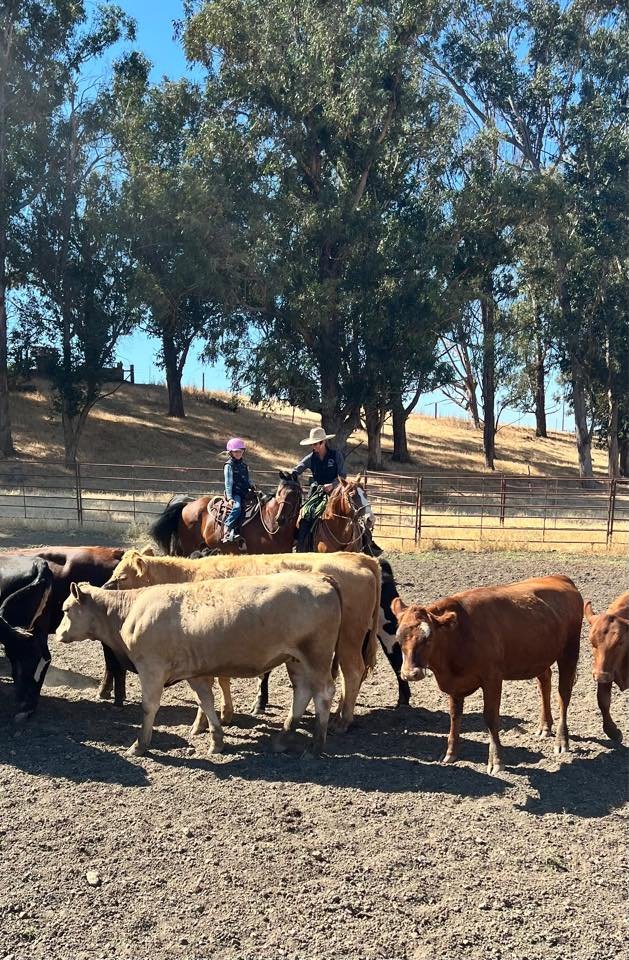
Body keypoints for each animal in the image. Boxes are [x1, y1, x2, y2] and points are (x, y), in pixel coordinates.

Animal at [55, 573, 342, 756]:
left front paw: (140, 745)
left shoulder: (151, 669)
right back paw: (283, 738)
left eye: (66, 609)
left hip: (316, 656)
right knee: (302, 692)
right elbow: (206, 701)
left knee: (324, 693)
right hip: (297, 659)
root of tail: (321, 579)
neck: (128, 611)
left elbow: (149, 707)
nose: (58, 633)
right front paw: (217, 740)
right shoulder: (194, 672)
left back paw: (316, 746)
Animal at [103, 549, 380, 731]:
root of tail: (362, 559)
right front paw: (226, 714)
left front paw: (201, 723)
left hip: (349, 638)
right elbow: (223, 679)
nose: (103, 588)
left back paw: (343, 720)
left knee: (352, 673)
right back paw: (338, 714)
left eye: (123, 577)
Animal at [149, 472, 302, 557]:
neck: (269, 525)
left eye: (295, 493)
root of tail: (186, 505)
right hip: (188, 547)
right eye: (279, 492)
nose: (280, 519)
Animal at [391, 575, 583, 774]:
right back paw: (544, 727)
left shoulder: (492, 678)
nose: (410, 674)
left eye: (428, 639)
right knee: (545, 682)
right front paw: (451, 753)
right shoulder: (455, 684)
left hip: (570, 651)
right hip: (539, 656)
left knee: (564, 694)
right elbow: (454, 715)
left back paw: (561, 741)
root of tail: (559, 577)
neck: (459, 634)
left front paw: (496, 760)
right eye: (398, 638)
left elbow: (491, 717)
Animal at [584, 591, 629, 742]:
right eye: (592, 642)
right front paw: (612, 731)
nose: (600, 676)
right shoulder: (606, 670)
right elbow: (603, 700)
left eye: (620, 642)